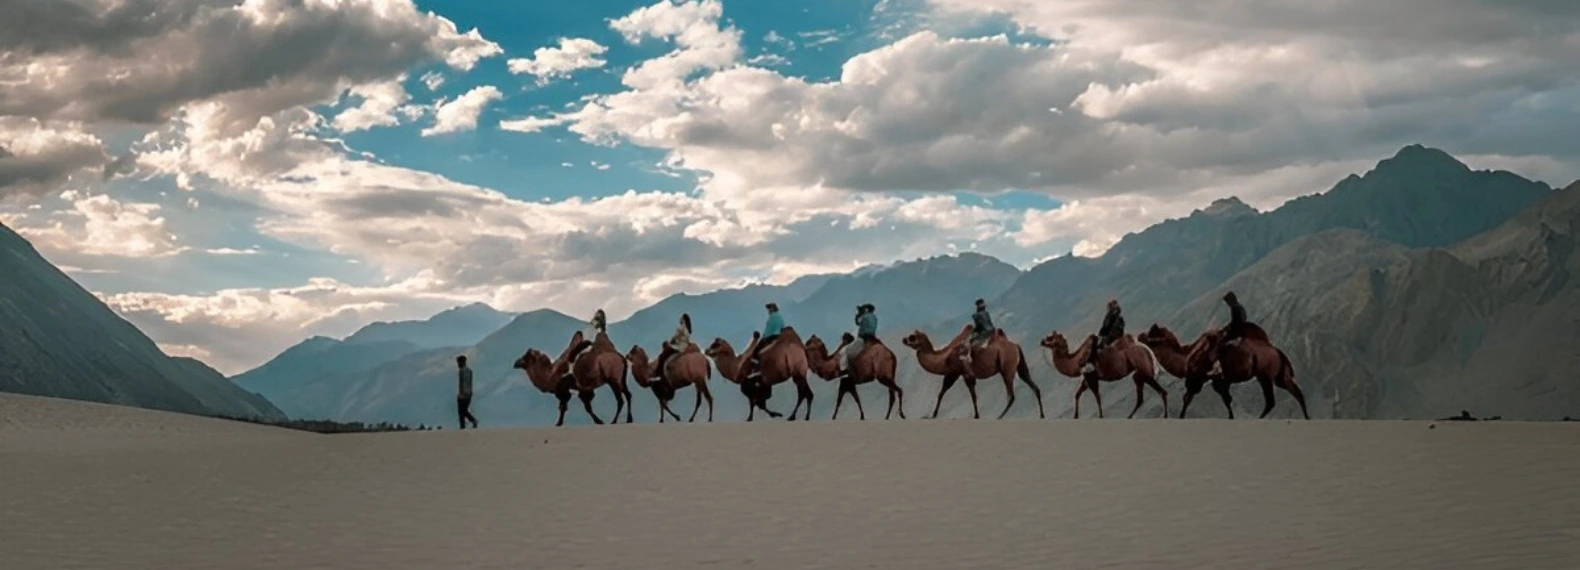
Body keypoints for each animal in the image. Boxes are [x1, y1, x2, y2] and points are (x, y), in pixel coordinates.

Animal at [897, 323, 1042, 416]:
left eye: (912, 337)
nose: (903, 339)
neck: (945, 357)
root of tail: (1016, 346)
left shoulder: (966, 373)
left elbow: (973, 395)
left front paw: (976, 416)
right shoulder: (953, 373)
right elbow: (941, 392)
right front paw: (933, 415)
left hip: (1007, 366)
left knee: (1011, 395)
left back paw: (999, 416)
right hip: (1020, 365)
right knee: (1034, 386)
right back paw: (1042, 415)